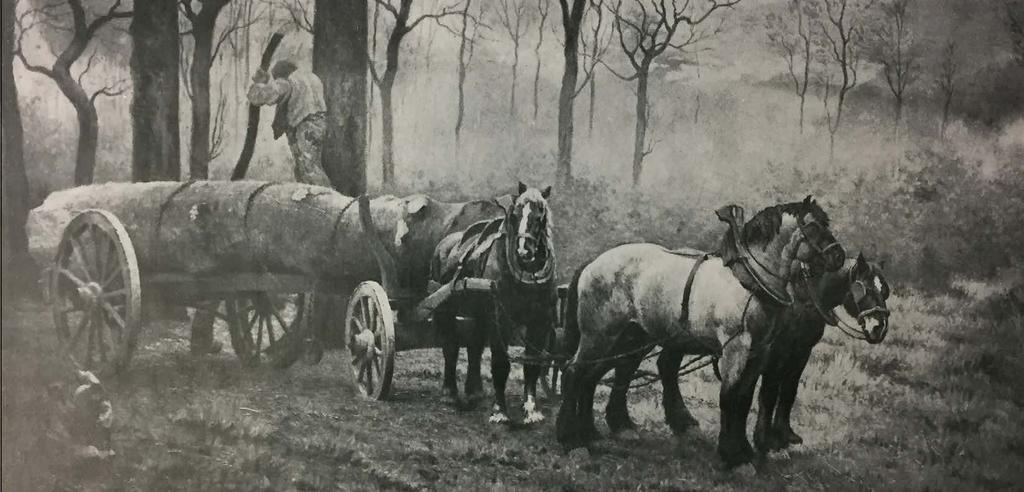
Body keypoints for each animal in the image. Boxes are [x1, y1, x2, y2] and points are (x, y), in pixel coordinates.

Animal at [432, 182, 561, 424]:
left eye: (540, 215)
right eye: (515, 215)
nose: (524, 250)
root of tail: (444, 244)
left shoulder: (540, 321)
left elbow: (532, 363)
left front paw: (531, 409)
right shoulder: (500, 319)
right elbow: (500, 364)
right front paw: (499, 411)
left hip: (479, 313)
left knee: (474, 346)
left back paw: (474, 392)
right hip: (446, 310)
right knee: (450, 346)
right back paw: (449, 393)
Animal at [753, 254, 888, 453]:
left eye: (885, 291)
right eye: (866, 289)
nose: (879, 329)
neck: (800, 297)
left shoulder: (802, 351)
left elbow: (789, 390)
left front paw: (784, 434)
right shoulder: (776, 351)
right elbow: (769, 393)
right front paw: (764, 440)